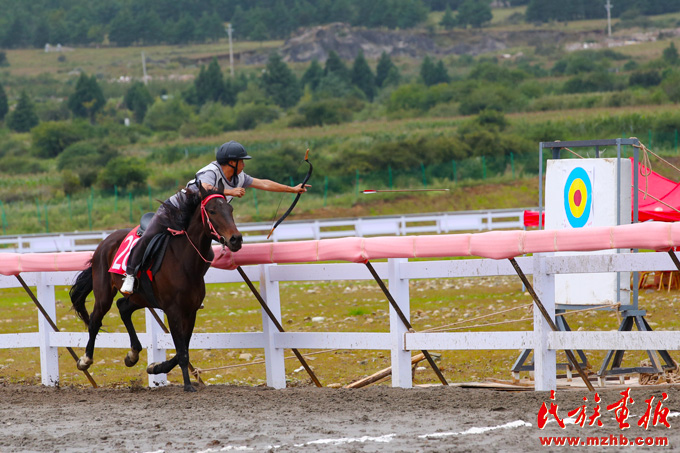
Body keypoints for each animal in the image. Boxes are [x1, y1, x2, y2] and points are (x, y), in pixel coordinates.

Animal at [69, 182, 243, 390]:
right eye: (212, 210)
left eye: (231, 209)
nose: (236, 239)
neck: (184, 261)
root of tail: (103, 243)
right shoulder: (173, 310)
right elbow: (182, 351)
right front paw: (187, 385)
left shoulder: (190, 311)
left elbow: (183, 348)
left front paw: (156, 367)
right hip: (104, 292)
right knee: (96, 319)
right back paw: (85, 359)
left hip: (140, 296)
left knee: (123, 307)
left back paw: (133, 354)